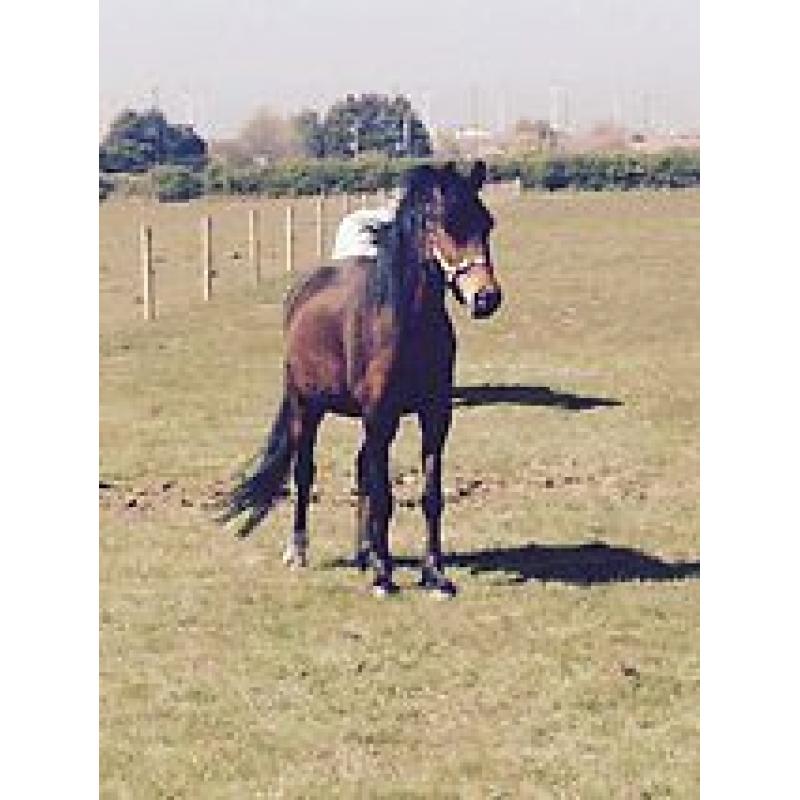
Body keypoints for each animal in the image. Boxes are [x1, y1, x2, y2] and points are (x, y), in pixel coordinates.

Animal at [218, 161, 502, 597]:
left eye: (486, 224)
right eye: (446, 224)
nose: (486, 298)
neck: (406, 322)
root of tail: (301, 292)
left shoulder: (434, 416)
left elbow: (429, 494)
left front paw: (434, 574)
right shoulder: (379, 415)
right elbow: (383, 494)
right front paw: (384, 576)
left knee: (361, 467)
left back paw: (364, 552)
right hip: (306, 407)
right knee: (305, 472)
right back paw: (300, 551)